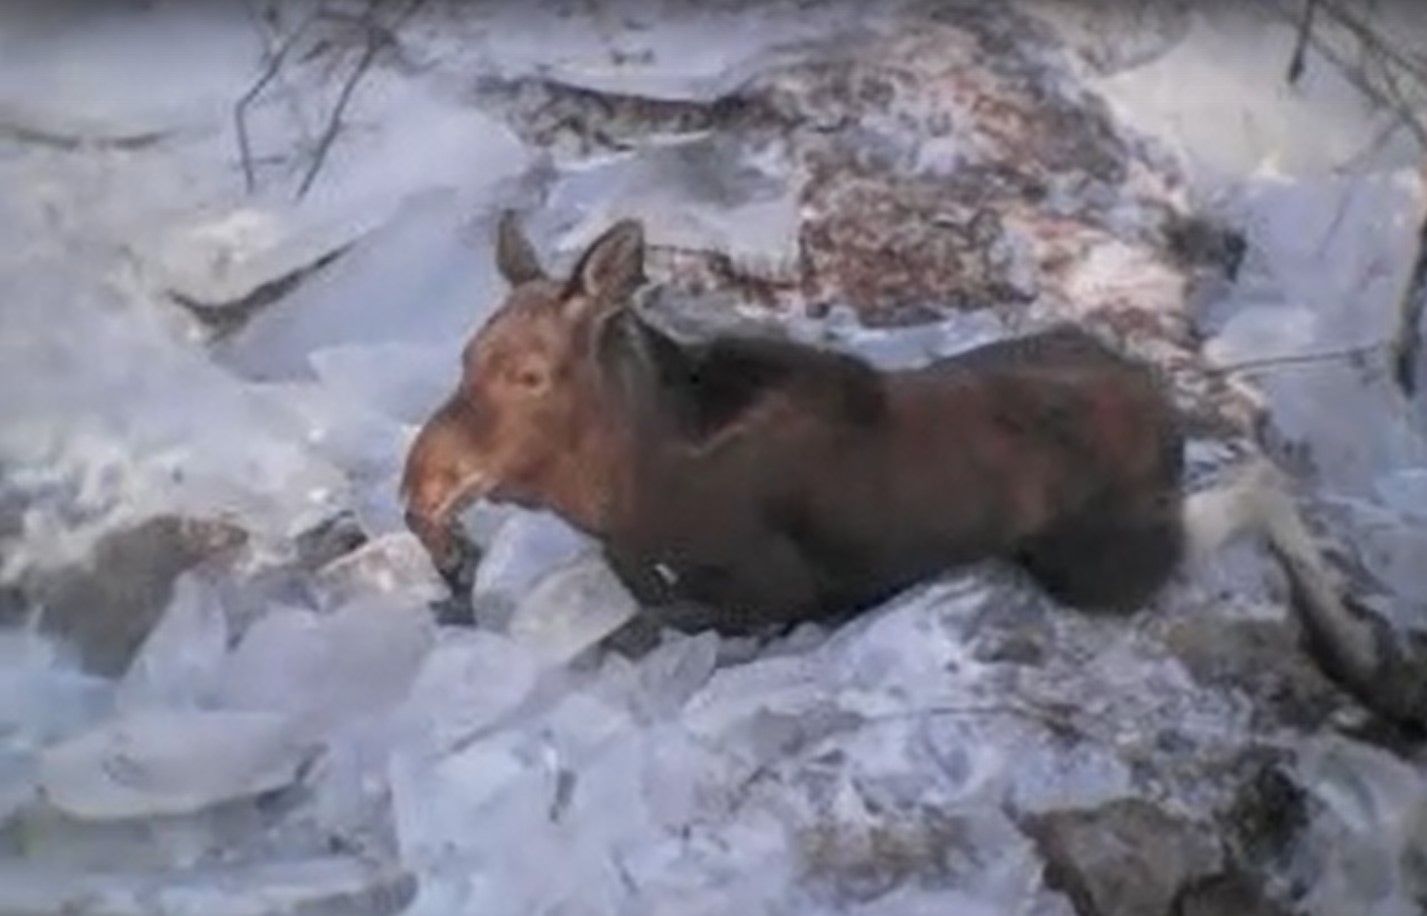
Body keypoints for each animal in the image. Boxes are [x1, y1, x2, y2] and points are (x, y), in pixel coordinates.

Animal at [399, 212, 1181, 633]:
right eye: (466, 355)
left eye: (529, 375)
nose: (420, 489)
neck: (618, 492)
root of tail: (1163, 404)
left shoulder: (777, 590)